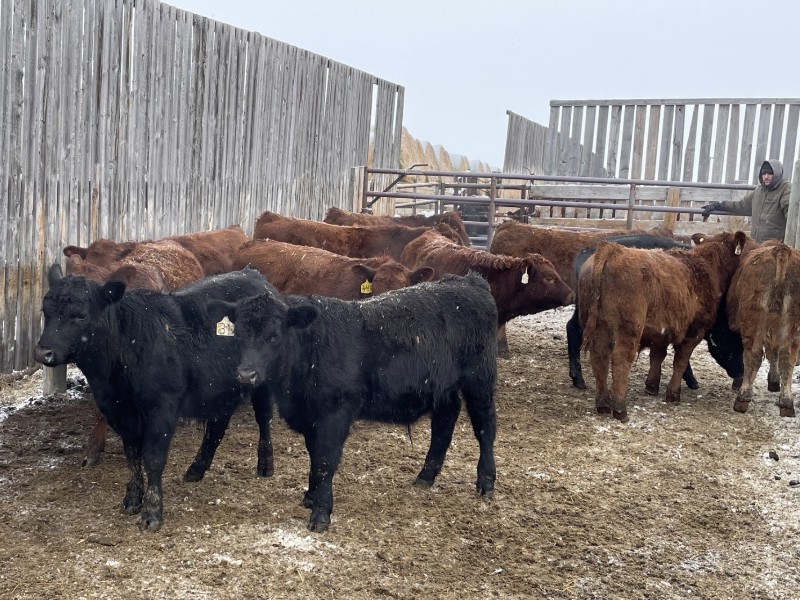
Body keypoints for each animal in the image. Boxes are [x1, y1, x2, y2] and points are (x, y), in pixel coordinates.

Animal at [34, 265, 275, 531]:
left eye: (82, 315)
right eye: (46, 311)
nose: (43, 352)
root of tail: (254, 275)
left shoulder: (162, 407)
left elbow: (153, 458)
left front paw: (152, 512)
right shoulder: (120, 409)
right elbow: (132, 454)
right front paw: (132, 498)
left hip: (261, 382)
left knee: (264, 419)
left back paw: (265, 465)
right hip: (219, 389)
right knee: (216, 427)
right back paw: (196, 469)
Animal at [209, 272, 498, 533]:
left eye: (275, 335)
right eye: (239, 334)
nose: (247, 374)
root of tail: (468, 280)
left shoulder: (335, 412)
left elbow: (325, 461)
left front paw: (320, 513)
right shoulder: (311, 415)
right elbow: (314, 456)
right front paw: (311, 496)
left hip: (479, 378)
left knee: (485, 425)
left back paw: (486, 481)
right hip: (443, 387)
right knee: (445, 421)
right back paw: (425, 476)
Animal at [578, 230, 747, 422]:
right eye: (736, 343)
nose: (740, 373)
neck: (707, 267)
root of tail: (613, 250)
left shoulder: (661, 331)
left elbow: (657, 356)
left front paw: (652, 386)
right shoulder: (694, 332)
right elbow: (680, 362)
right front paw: (673, 394)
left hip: (598, 327)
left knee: (599, 357)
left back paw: (603, 404)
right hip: (628, 329)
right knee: (621, 360)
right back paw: (620, 409)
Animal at [727, 242, 800, 417]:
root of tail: (781, 250)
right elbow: (775, 353)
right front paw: (774, 381)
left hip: (753, 321)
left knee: (753, 355)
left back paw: (743, 398)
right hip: (792, 324)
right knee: (787, 358)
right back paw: (786, 403)